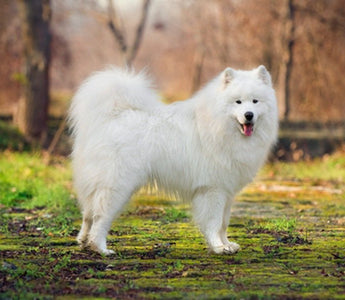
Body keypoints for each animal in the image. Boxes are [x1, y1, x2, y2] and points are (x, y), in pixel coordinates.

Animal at [68, 65, 278, 255]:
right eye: (238, 102)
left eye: (255, 101)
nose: (248, 115)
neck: (219, 125)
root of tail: (112, 117)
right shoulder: (213, 189)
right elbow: (214, 222)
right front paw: (218, 247)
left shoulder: (227, 191)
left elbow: (224, 223)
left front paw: (227, 244)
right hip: (117, 185)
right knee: (101, 217)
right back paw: (100, 248)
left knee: (88, 213)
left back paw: (84, 241)